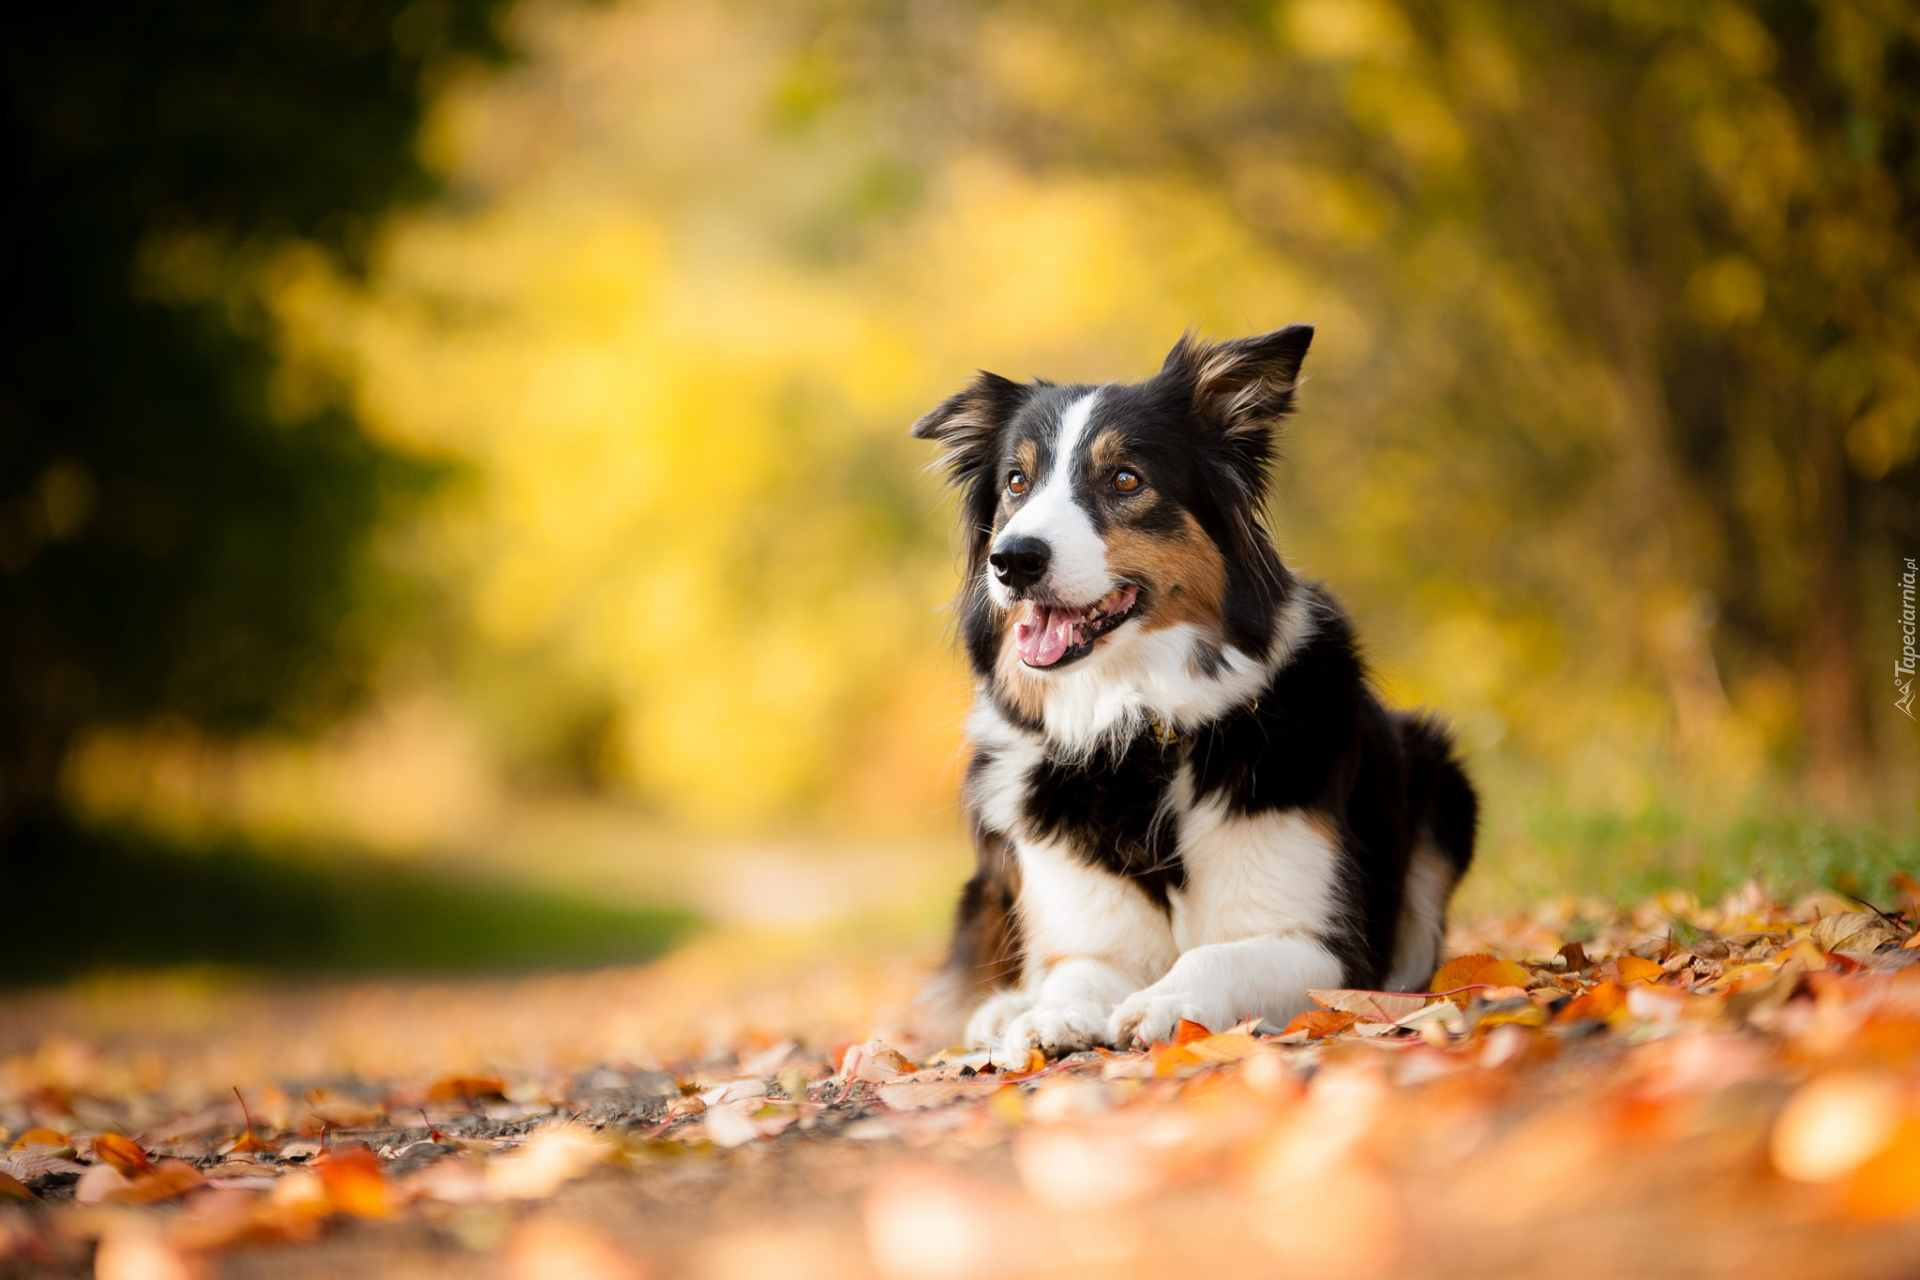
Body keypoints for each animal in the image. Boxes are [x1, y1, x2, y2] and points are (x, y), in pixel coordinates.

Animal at [913, 326, 1482, 1059]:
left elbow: (1217, 955)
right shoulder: (1094, 935)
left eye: (1126, 479)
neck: (1139, 734)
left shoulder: (1326, 948)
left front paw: (1165, 1001)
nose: (1012, 559)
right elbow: (1074, 973)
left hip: (1440, 773)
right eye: (1016, 482)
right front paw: (1045, 1016)